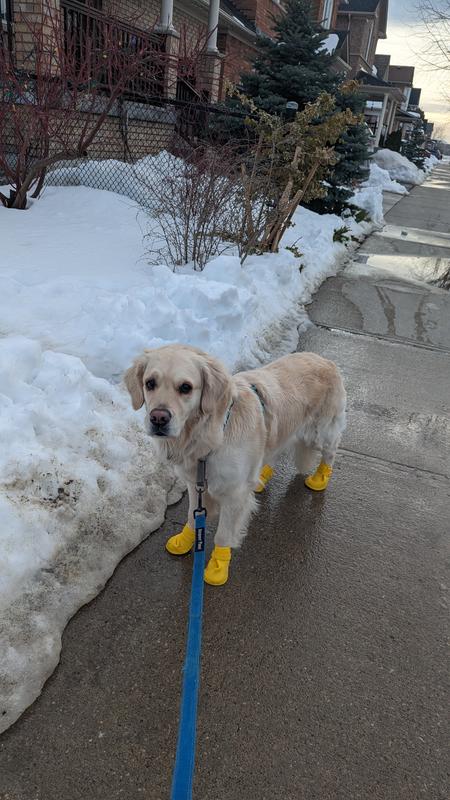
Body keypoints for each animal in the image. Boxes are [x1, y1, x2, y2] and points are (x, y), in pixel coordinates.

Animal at [125, 346, 346, 588]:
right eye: (150, 383)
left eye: (185, 387)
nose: (158, 418)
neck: (210, 436)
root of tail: (325, 360)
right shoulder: (195, 484)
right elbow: (193, 516)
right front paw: (185, 540)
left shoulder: (234, 494)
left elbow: (222, 534)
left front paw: (218, 566)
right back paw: (261, 478)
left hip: (320, 432)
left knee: (331, 450)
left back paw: (320, 478)